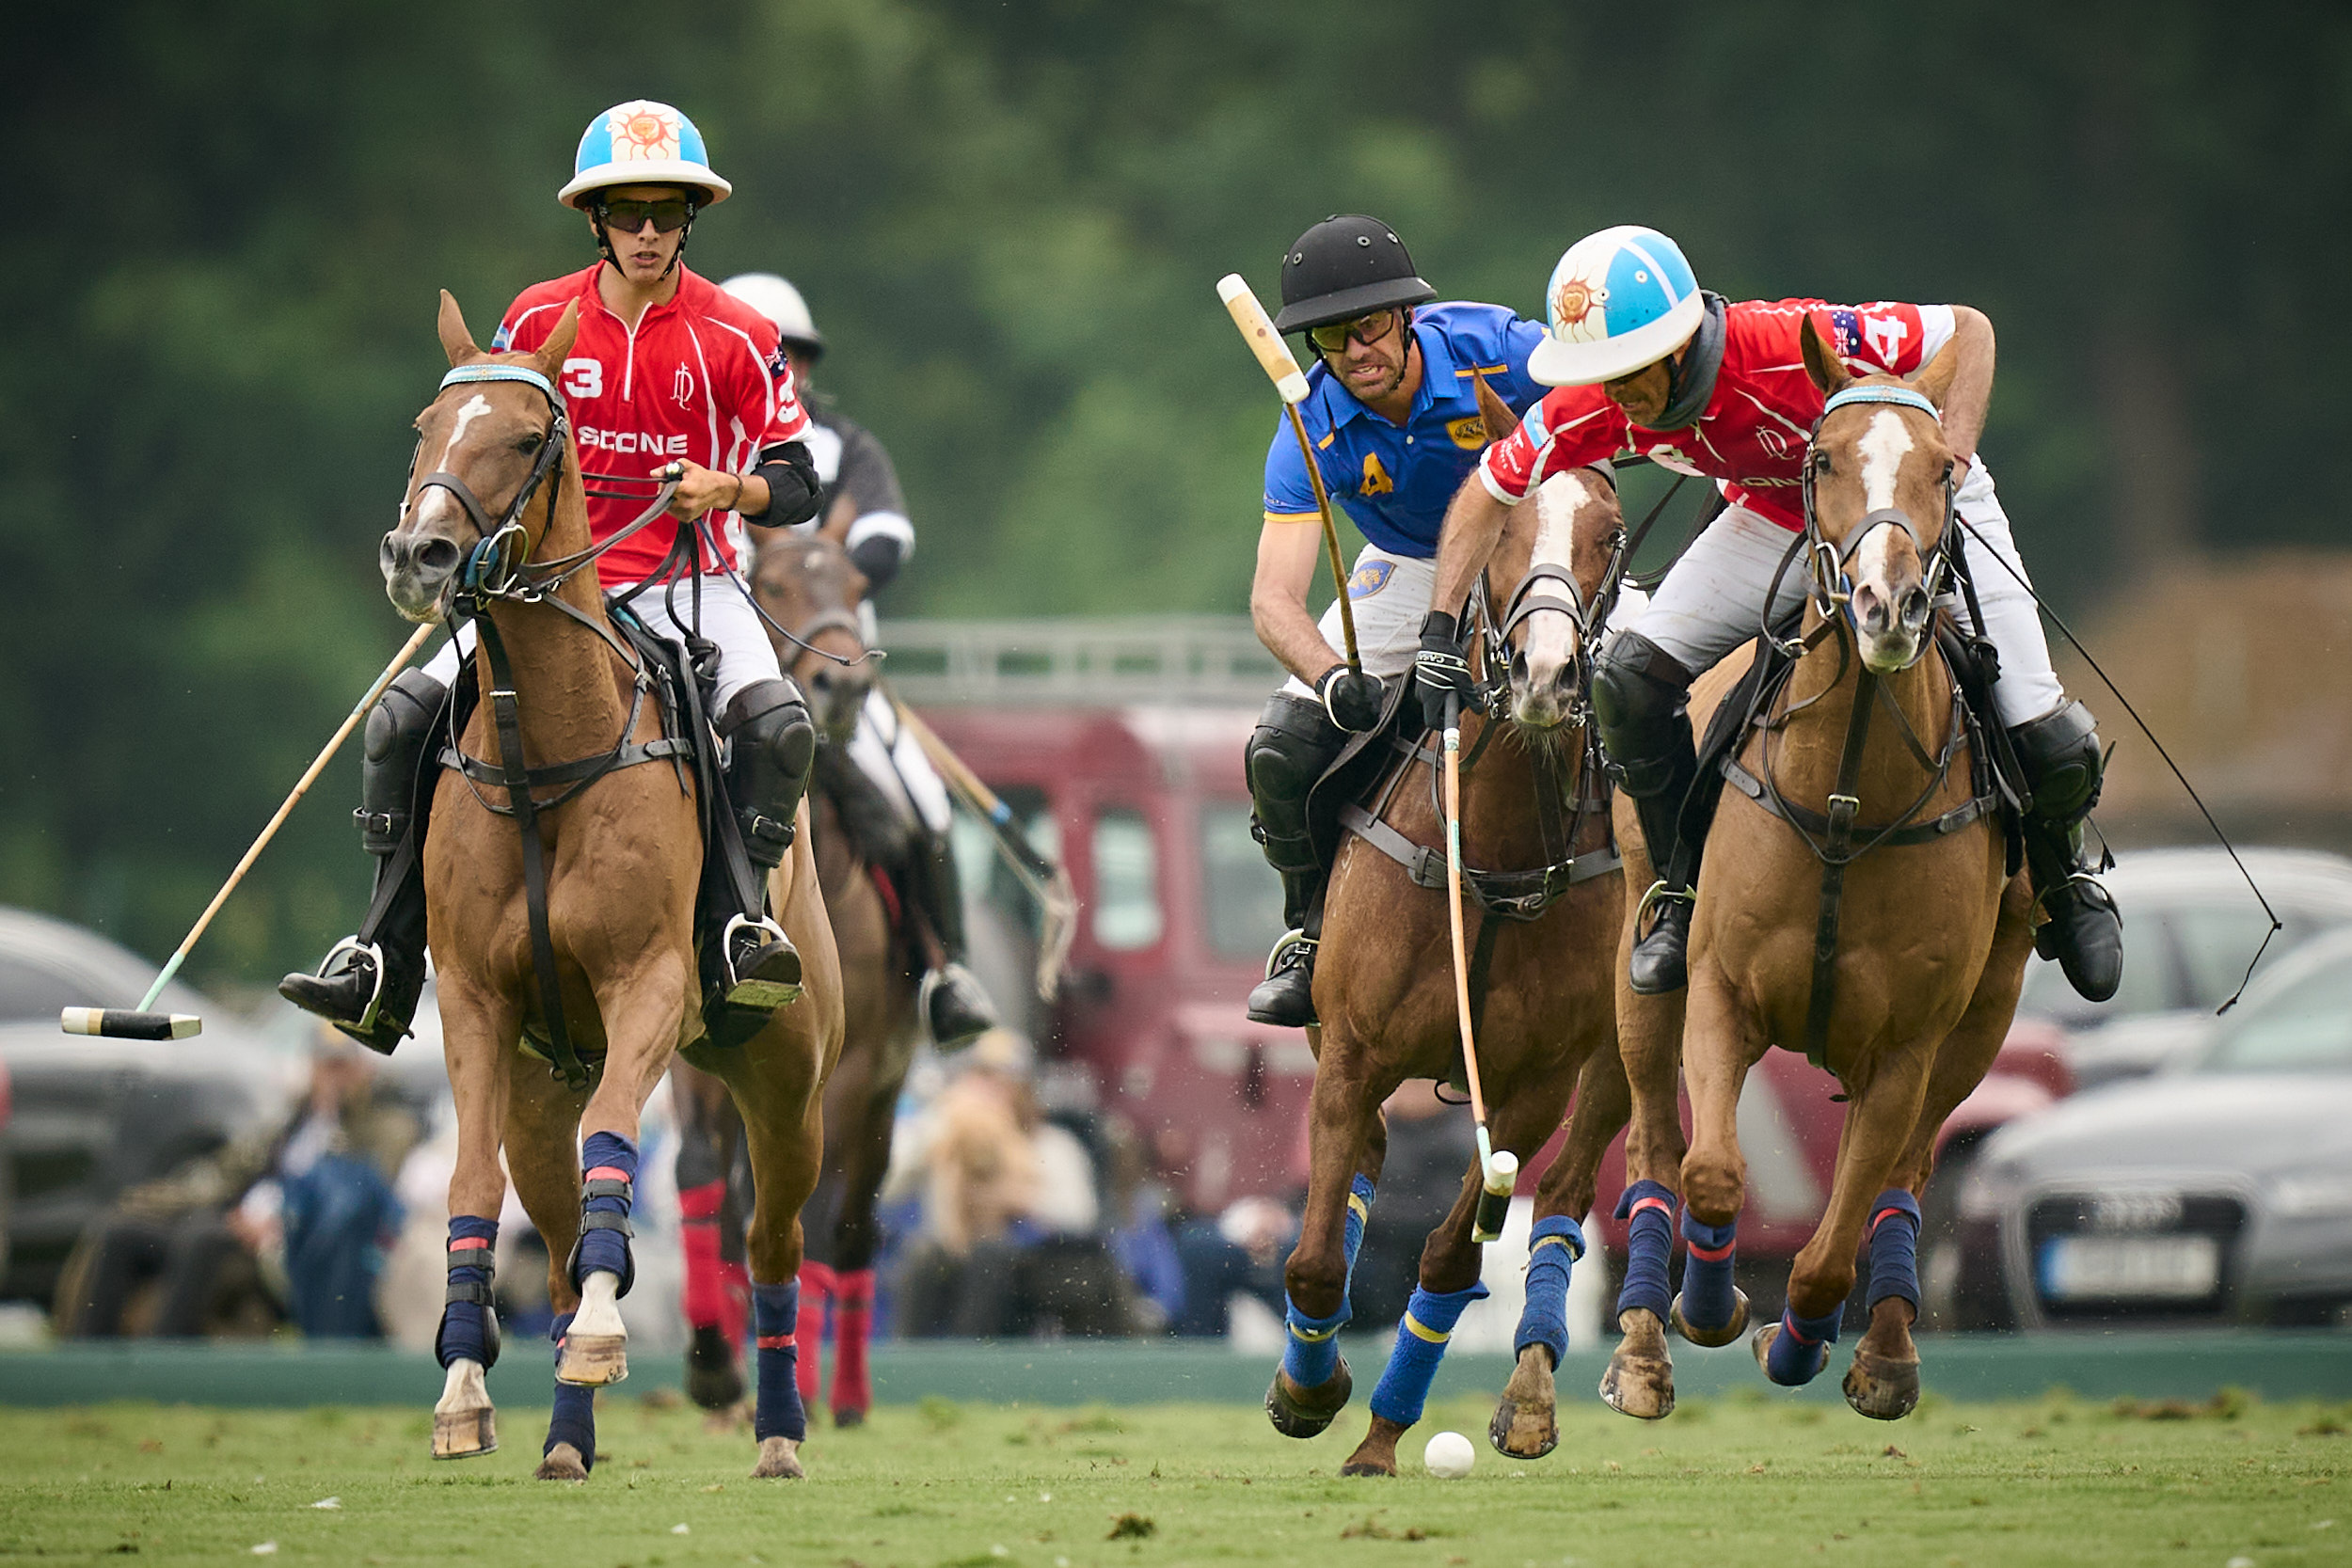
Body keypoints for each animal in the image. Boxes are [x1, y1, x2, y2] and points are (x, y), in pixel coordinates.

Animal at [390, 297, 851, 1485]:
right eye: (427, 426)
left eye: (523, 437)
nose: (418, 552)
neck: (543, 752)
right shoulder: (474, 1001)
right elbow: (469, 1185)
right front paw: (463, 1392)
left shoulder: (646, 982)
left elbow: (618, 1148)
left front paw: (607, 1331)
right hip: (540, 1084)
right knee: (554, 1242)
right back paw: (564, 1433)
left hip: (789, 1078)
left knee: (771, 1240)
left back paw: (777, 1425)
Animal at [668, 533, 922, 1429]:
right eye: (771, 584)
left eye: (852, 582)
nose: (842, 685)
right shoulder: (691, 1059)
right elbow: (700, 1175)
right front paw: (713, 1363)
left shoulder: (842, 1075)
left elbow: (810, 1214)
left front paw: (793, 1385)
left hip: (882, 1095)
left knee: (850, 1227)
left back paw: (842, 1393)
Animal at [1270, 453, 1637, 1476]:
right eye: (1501, 531)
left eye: (1610, 533)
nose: (1547, 676)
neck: (1495, 848)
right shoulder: (1352, 1049)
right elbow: (1315, 1258)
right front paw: (1307, 1392)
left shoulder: (1533, 1080)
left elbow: (1450, 1255)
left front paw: (1378, 1436)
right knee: (1360, 1159)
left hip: (1625, 1051)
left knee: (1564, 1192)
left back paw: (1531, 1399)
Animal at [1599, 324, 2042, 1429]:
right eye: (1825, 459)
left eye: (1943, 469)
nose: (1889, 605)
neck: (1847, 795)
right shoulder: (1718, 990)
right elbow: (1715, 1171)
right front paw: (1712, 1307)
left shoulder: (1910, 1044)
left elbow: (1828, 1252)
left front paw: (1794, 1339)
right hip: (1640, 964)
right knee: (1653, 1145)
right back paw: (1641, 1352)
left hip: (1984, 1018)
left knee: (1904, 1175)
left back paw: (1884, 1354)